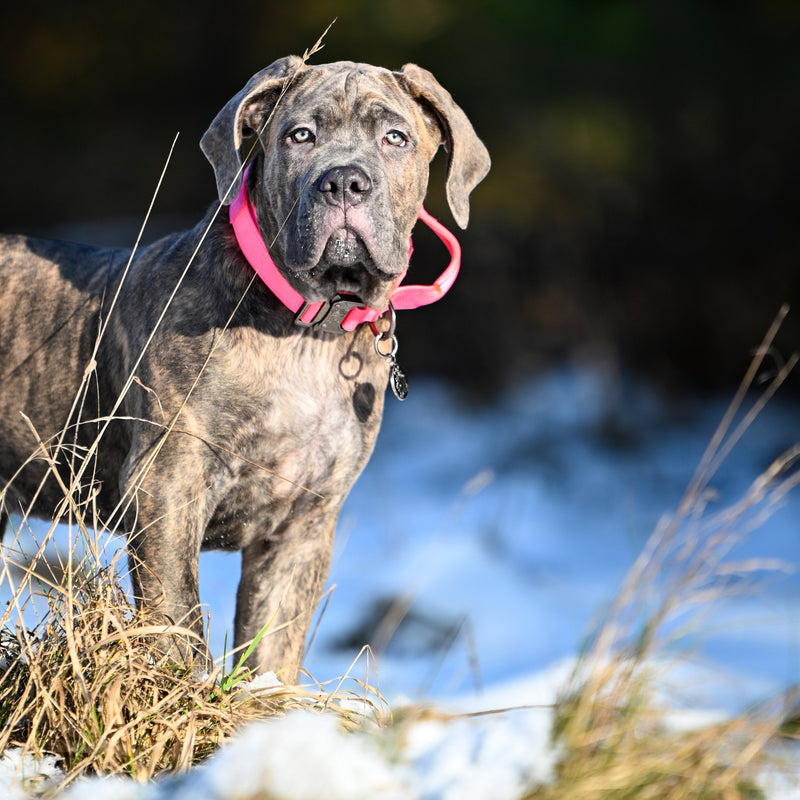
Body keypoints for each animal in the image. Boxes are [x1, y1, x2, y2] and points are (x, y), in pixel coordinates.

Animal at [0, 56, 488, 680]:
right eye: (300, 135)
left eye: (395, 137)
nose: (345, 181)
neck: (307, 333)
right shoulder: (167, 486)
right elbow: (179, 621)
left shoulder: (304, 524)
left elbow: (273, 645)